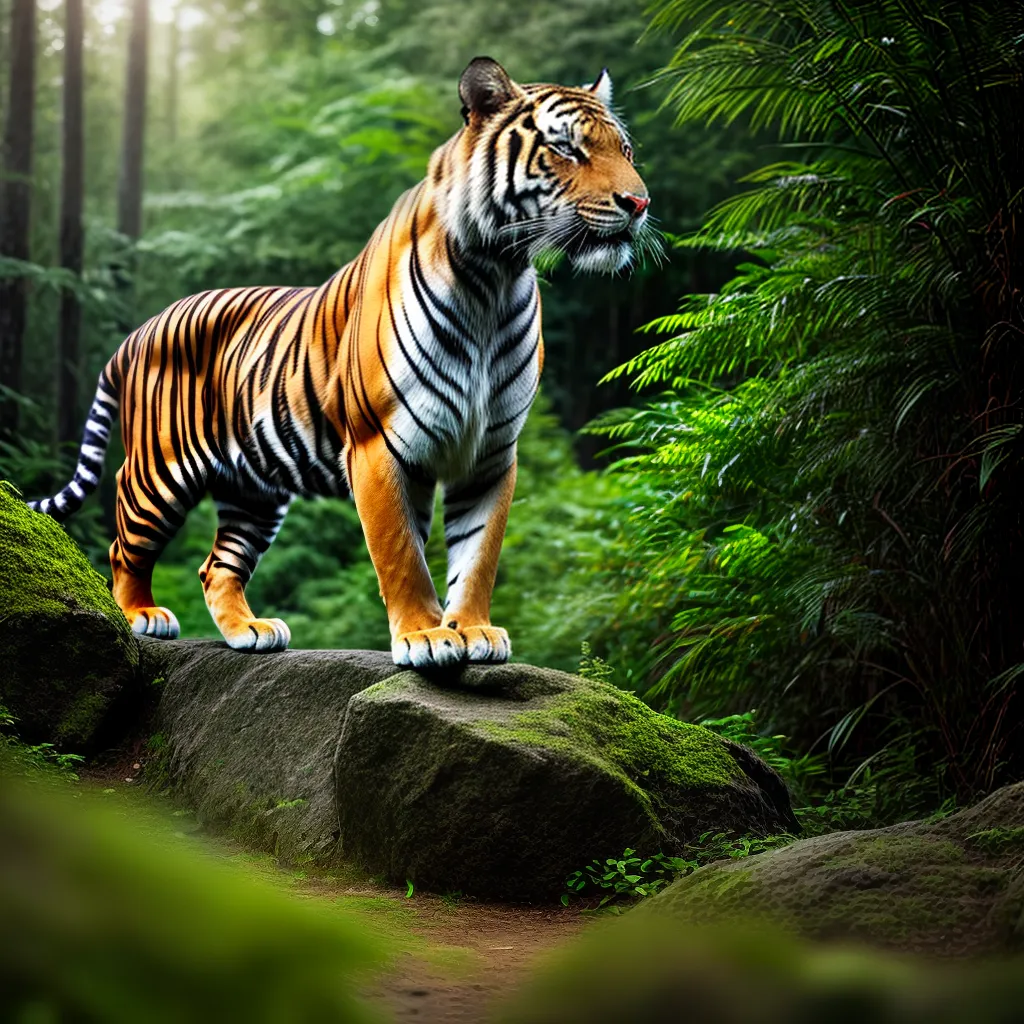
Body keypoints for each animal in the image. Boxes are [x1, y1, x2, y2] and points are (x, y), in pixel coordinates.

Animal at [29, 57, 652, 668]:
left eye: (624, 150)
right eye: (566, 148)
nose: (639, 203)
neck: (493, 279)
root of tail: (140, 330)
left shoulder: (492, 451)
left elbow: (479, 553)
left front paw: (474, 630)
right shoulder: (380, 444)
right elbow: (402, 552)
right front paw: (425, 637)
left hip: (253, 488)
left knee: (216, 565)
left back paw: (249, 631)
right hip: (160, 468)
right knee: (124, 544)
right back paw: (141, 616)